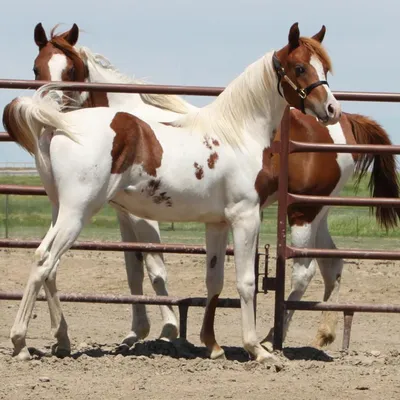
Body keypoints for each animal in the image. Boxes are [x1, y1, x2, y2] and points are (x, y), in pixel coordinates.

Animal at [30, 24, 400, 354]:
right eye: (37, 67)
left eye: (71, 68)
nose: (330, 107)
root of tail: (345, 126)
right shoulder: (135, 213)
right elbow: (143, 268)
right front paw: (148, 333)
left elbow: (160, 267)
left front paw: (166, 330)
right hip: (314, 212)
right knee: (331, 264)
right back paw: (315, 334)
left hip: (304, 212)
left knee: (304, 272)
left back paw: (274, 338)